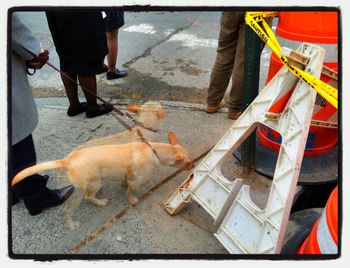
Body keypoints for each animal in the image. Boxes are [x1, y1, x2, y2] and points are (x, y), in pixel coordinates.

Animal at [12, 131, 191, 229]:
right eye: (188, 162)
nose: (193, 166)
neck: (153, 150)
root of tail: (67, 160)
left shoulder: (128, 175)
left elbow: (125, 182)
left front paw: (123, 185)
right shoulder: (136, 181)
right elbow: (130, 192)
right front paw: (132, 199)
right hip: (88, 187)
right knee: (77, 204)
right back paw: (79, 219)